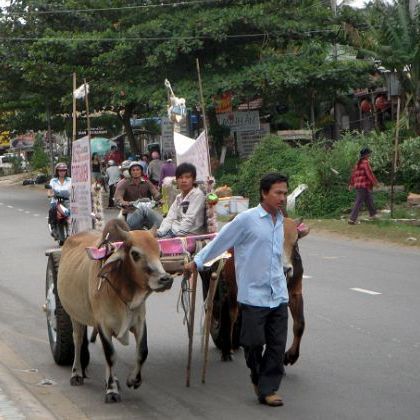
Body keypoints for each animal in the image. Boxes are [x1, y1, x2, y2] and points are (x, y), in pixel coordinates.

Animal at [57, 218, 172, 402]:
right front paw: (111, 391)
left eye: (160, 253)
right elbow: (110, 355)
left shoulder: (139, 321)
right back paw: (77, 374)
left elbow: (142, 351)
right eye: (135, 254)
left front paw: (133, 380)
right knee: (78, 340)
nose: (166, 279)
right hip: (75, 316)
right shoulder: (103, 324)